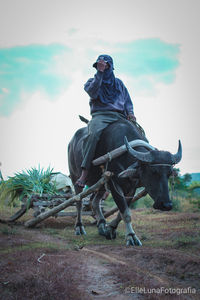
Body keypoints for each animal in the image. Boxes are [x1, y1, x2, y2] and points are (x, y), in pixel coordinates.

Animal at [68, 118, 182, 246]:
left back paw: (102, 225)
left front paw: (110, 229)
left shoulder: (131, 187)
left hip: (101, 183)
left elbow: (123, 210)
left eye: (169, 173)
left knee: (95, 202)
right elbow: (125, 211)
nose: (166, 205)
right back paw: (79, 227)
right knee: (78, 201)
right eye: (153, 171)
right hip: (75, 177)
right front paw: (131, 236)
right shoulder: (113, 183)